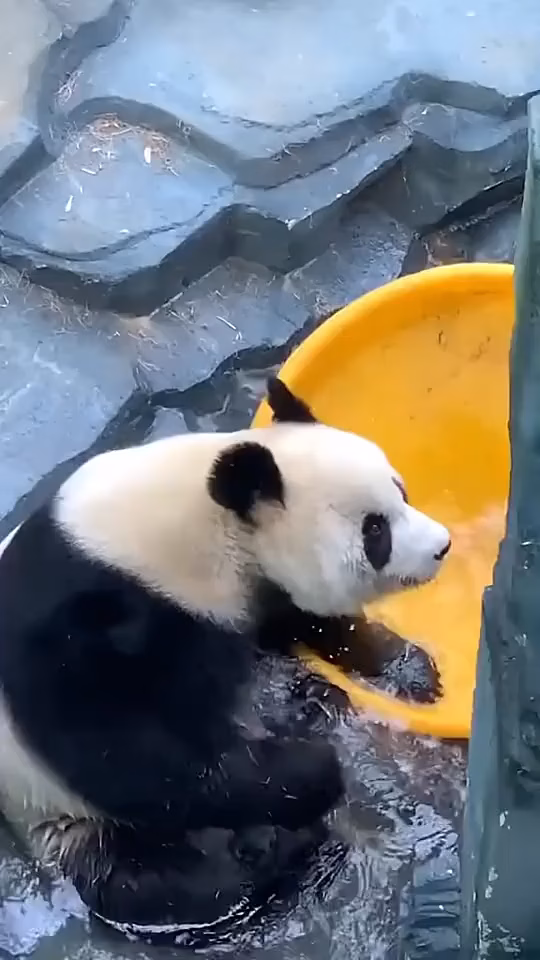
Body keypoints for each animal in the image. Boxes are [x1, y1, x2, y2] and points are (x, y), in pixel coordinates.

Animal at [0, 377, 451, 943]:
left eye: (402, 492)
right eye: (375, 531)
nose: (442, 546)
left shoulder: (249, 591)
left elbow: (308, 619)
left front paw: (407, 668)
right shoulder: (86, 620)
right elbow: (124, 754)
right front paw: (310, 775)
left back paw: (310, 711)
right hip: (62, 819)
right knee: (148, 885)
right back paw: (268, 851)